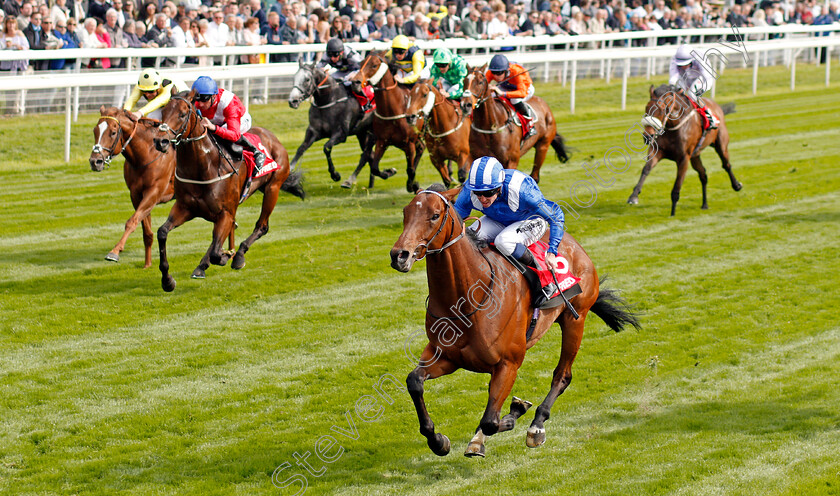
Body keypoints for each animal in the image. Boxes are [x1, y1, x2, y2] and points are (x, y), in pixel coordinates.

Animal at [89, 104, 176, 268]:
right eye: (95, 130)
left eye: (113, 132)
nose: (95, 161)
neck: (147, 155)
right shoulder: (136, 195)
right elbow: (146, 232)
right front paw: (147, 265)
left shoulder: (153, 193)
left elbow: (131, 222)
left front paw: (114, 252)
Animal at [154, 90, 306, 290]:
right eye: (163, 112)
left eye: (182, 114)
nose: (160, 141)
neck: (204, 166)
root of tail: (272, 137)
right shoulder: (185, 208)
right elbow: (162, 232)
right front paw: (167, 280)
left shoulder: (225, 212)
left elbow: (216, 252)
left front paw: (226, 256)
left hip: (273, 188)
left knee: (262, 226)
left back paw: (238, 255)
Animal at [350, 52, 424, 192]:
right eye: (361, 63)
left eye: (374, 65)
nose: (355, 82)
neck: (393, 111)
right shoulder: (382, 141)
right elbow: (375, 168)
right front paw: (389, 171)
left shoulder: (409, 143)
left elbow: (410, 170)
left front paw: (412, 185)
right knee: (421, 148)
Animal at [390, 187, 640, 458]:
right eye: (405, 212)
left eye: (435, 215)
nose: (399, 255)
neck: (468, 299)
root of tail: (574, 244)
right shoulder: (445, 356)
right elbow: (414, 381)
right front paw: (438, 440)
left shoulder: (508, 364)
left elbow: (491, 420)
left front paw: (511, 415)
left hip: (576, 319)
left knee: (562, 375)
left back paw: (537, 426)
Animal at [632, 84, 740, 216]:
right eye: (647, 108)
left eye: (662, 110)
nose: (647, 137)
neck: (673, 127)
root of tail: (717, 106)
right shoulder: (657, 152)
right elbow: (646, 169)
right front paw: (634, 196)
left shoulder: (684, 158)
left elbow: (677, 186)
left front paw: (672, 214)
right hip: (695, 155)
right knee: (703, 174)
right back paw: (705, 204)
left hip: (721, 144)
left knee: (726, 164)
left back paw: (736, 185)